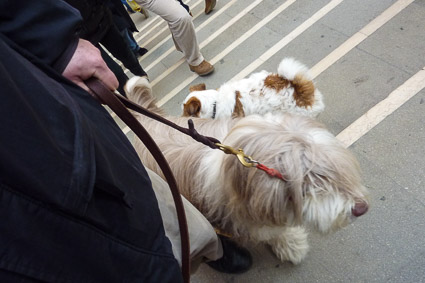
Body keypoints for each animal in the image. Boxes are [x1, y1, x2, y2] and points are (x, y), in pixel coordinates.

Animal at [125, 76, 368, 266]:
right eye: (312, 180)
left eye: (334, 168)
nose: (361, 208)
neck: (241, 164)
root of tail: (146, 120)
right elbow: (270, 230)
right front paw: (290, 244)